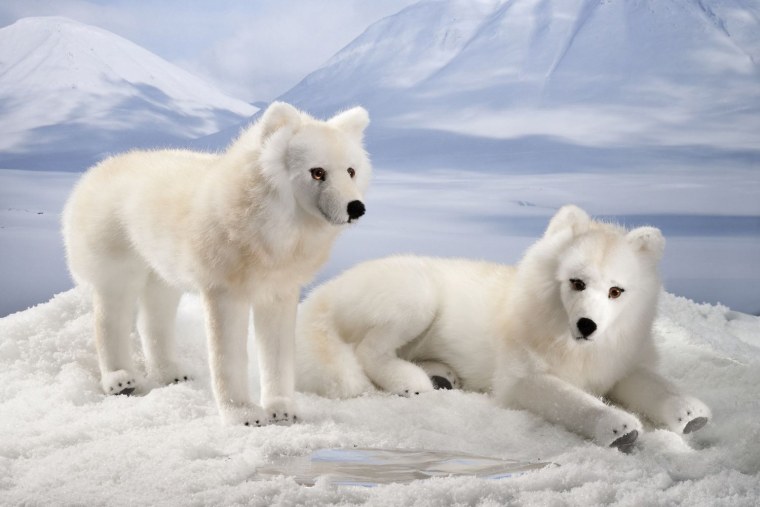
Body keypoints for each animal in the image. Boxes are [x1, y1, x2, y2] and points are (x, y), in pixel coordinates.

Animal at [62, 102, 371, 426]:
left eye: (351, 171)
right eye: (317, 172)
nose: (356, 208)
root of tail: (94, 172)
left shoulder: (278, 292)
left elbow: (277, 356)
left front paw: (282, 410)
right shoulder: (224, 292)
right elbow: (228, 359)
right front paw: (243, 415)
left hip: (161, 275)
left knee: (153, 320)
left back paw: (170, 373)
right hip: (118, 269)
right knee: (110, 321)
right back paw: (120, 379)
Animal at [295, 205, 710, 450]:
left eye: (616, 291)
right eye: (576, 282)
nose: (588, 325)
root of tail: (321, 293)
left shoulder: (621, 363)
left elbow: (656, 385)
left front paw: (691, 414)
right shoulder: (522, 378)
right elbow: (573, 401)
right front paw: (618, 427)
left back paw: (441, 376)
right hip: (417, 296)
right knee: (368, 351)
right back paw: (411, 382)